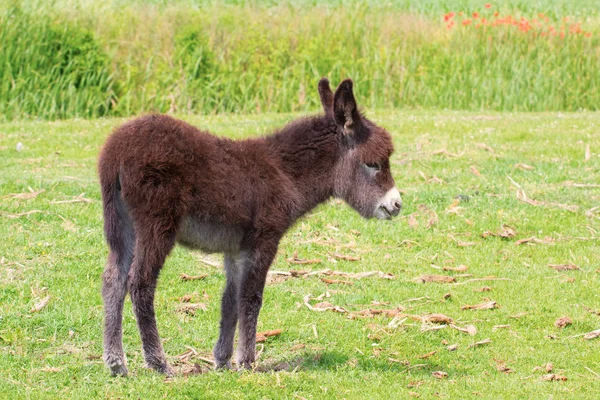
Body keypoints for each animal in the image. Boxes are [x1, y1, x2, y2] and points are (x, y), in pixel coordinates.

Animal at [98, 77, 404, 376]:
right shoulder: (263, 242)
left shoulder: (236, 250)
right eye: (374, 164)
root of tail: (116, 150)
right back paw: (158, 362)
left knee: (113, 279)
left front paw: (222, 361)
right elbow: (251, 298)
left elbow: (230, 301)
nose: (397, 204)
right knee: (140, 282)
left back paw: (116, 363)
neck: (285, 173)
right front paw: (247, 362)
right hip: (156, 225)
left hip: (121, 226)